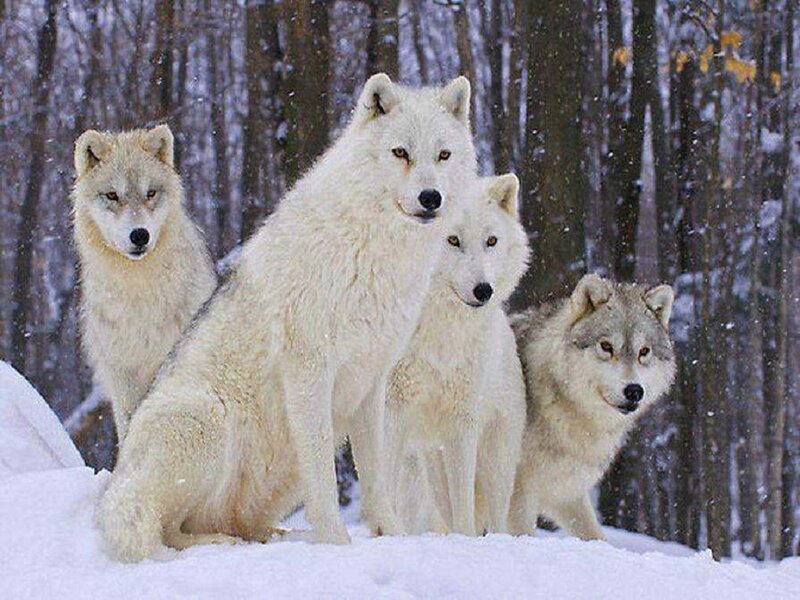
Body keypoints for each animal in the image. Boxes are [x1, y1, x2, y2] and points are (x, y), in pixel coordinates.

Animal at [96, 74, 477, 562]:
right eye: (400, 152)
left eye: (443, 154)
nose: (431, 198)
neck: (372, 250)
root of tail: (117, 484)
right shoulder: (309, 371)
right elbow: (325, 481)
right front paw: (336, 543)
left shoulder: (371, 381)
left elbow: (376, 478)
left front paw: (390, 536)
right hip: (207, 418)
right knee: (165, 529)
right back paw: (216, 542)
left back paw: (264, 535)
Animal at [386, 173, 529, 536]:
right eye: (452, 239)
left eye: (491, 241)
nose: (484, 290)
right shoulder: (390, 410)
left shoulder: (462, 422)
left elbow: (463, 506)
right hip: (423, 465)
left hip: (494, 462)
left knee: (493, 515)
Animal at [508, 274, 676, 540]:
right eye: (606, 346)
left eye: (644, 352)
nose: (634, 391)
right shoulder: (517, 492)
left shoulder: (567, 492)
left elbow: (595, 536)